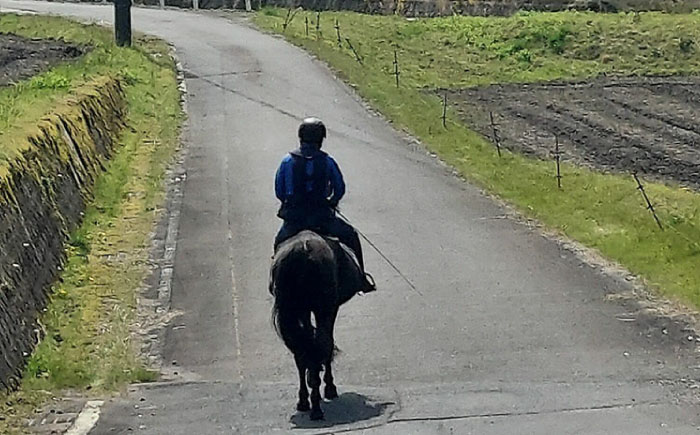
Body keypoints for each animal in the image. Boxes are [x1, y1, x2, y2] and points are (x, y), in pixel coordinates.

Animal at [270, 230, 364, 420]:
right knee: (322, 342)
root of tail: (303, 251)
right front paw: (328, 387)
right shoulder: (330, 309)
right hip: (324, 308)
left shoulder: (305, 312)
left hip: (297, 312)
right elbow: (326, 343)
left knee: (301, 352)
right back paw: (317, 404)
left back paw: (305, 401)